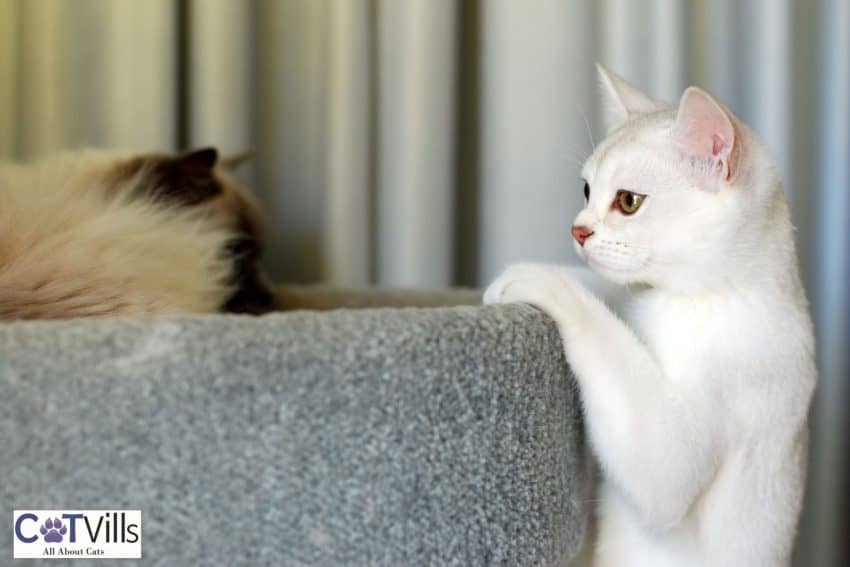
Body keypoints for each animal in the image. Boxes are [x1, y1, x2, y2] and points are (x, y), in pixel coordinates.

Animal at [484, 64, 816, 564]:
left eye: (628, 201)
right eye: (586, 190)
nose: (577, 230)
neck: (707, 295)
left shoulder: (675, 448)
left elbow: (604, 338)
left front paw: (533, 279)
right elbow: (606, 296)